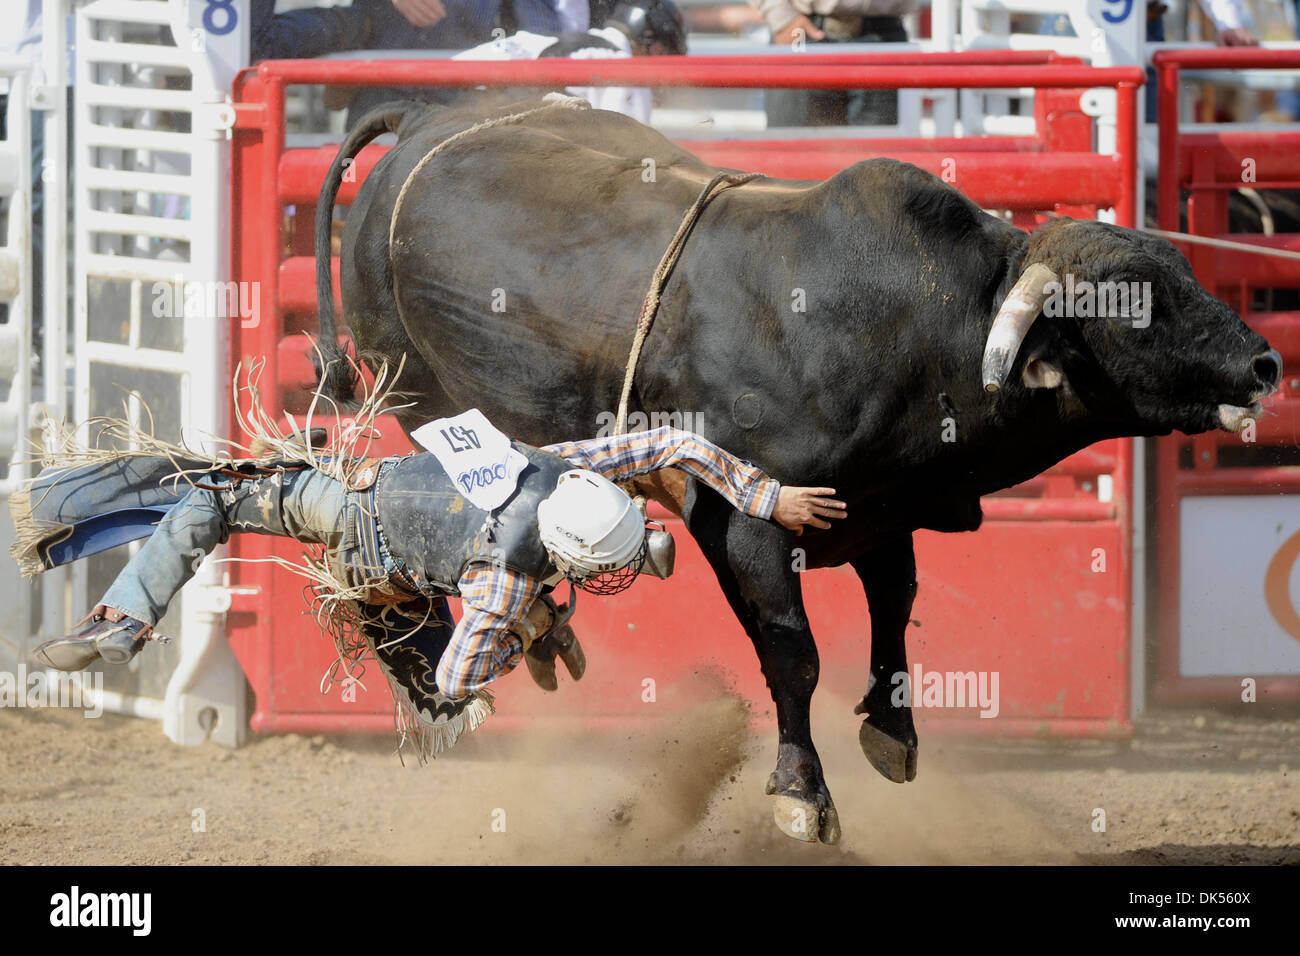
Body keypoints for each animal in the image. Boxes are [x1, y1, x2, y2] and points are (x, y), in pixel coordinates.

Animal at [314, 97, 1279, 842]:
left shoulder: (881, 511)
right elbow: (794, 654)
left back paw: (546, 631)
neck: (909, 323)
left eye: (1186, 274)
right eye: (1136, 307)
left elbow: (893, 611)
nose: (1265, 363)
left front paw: (890, 729)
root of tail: (425, 116)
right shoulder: (744, 521)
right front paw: (799, 793)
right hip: (415, 399)